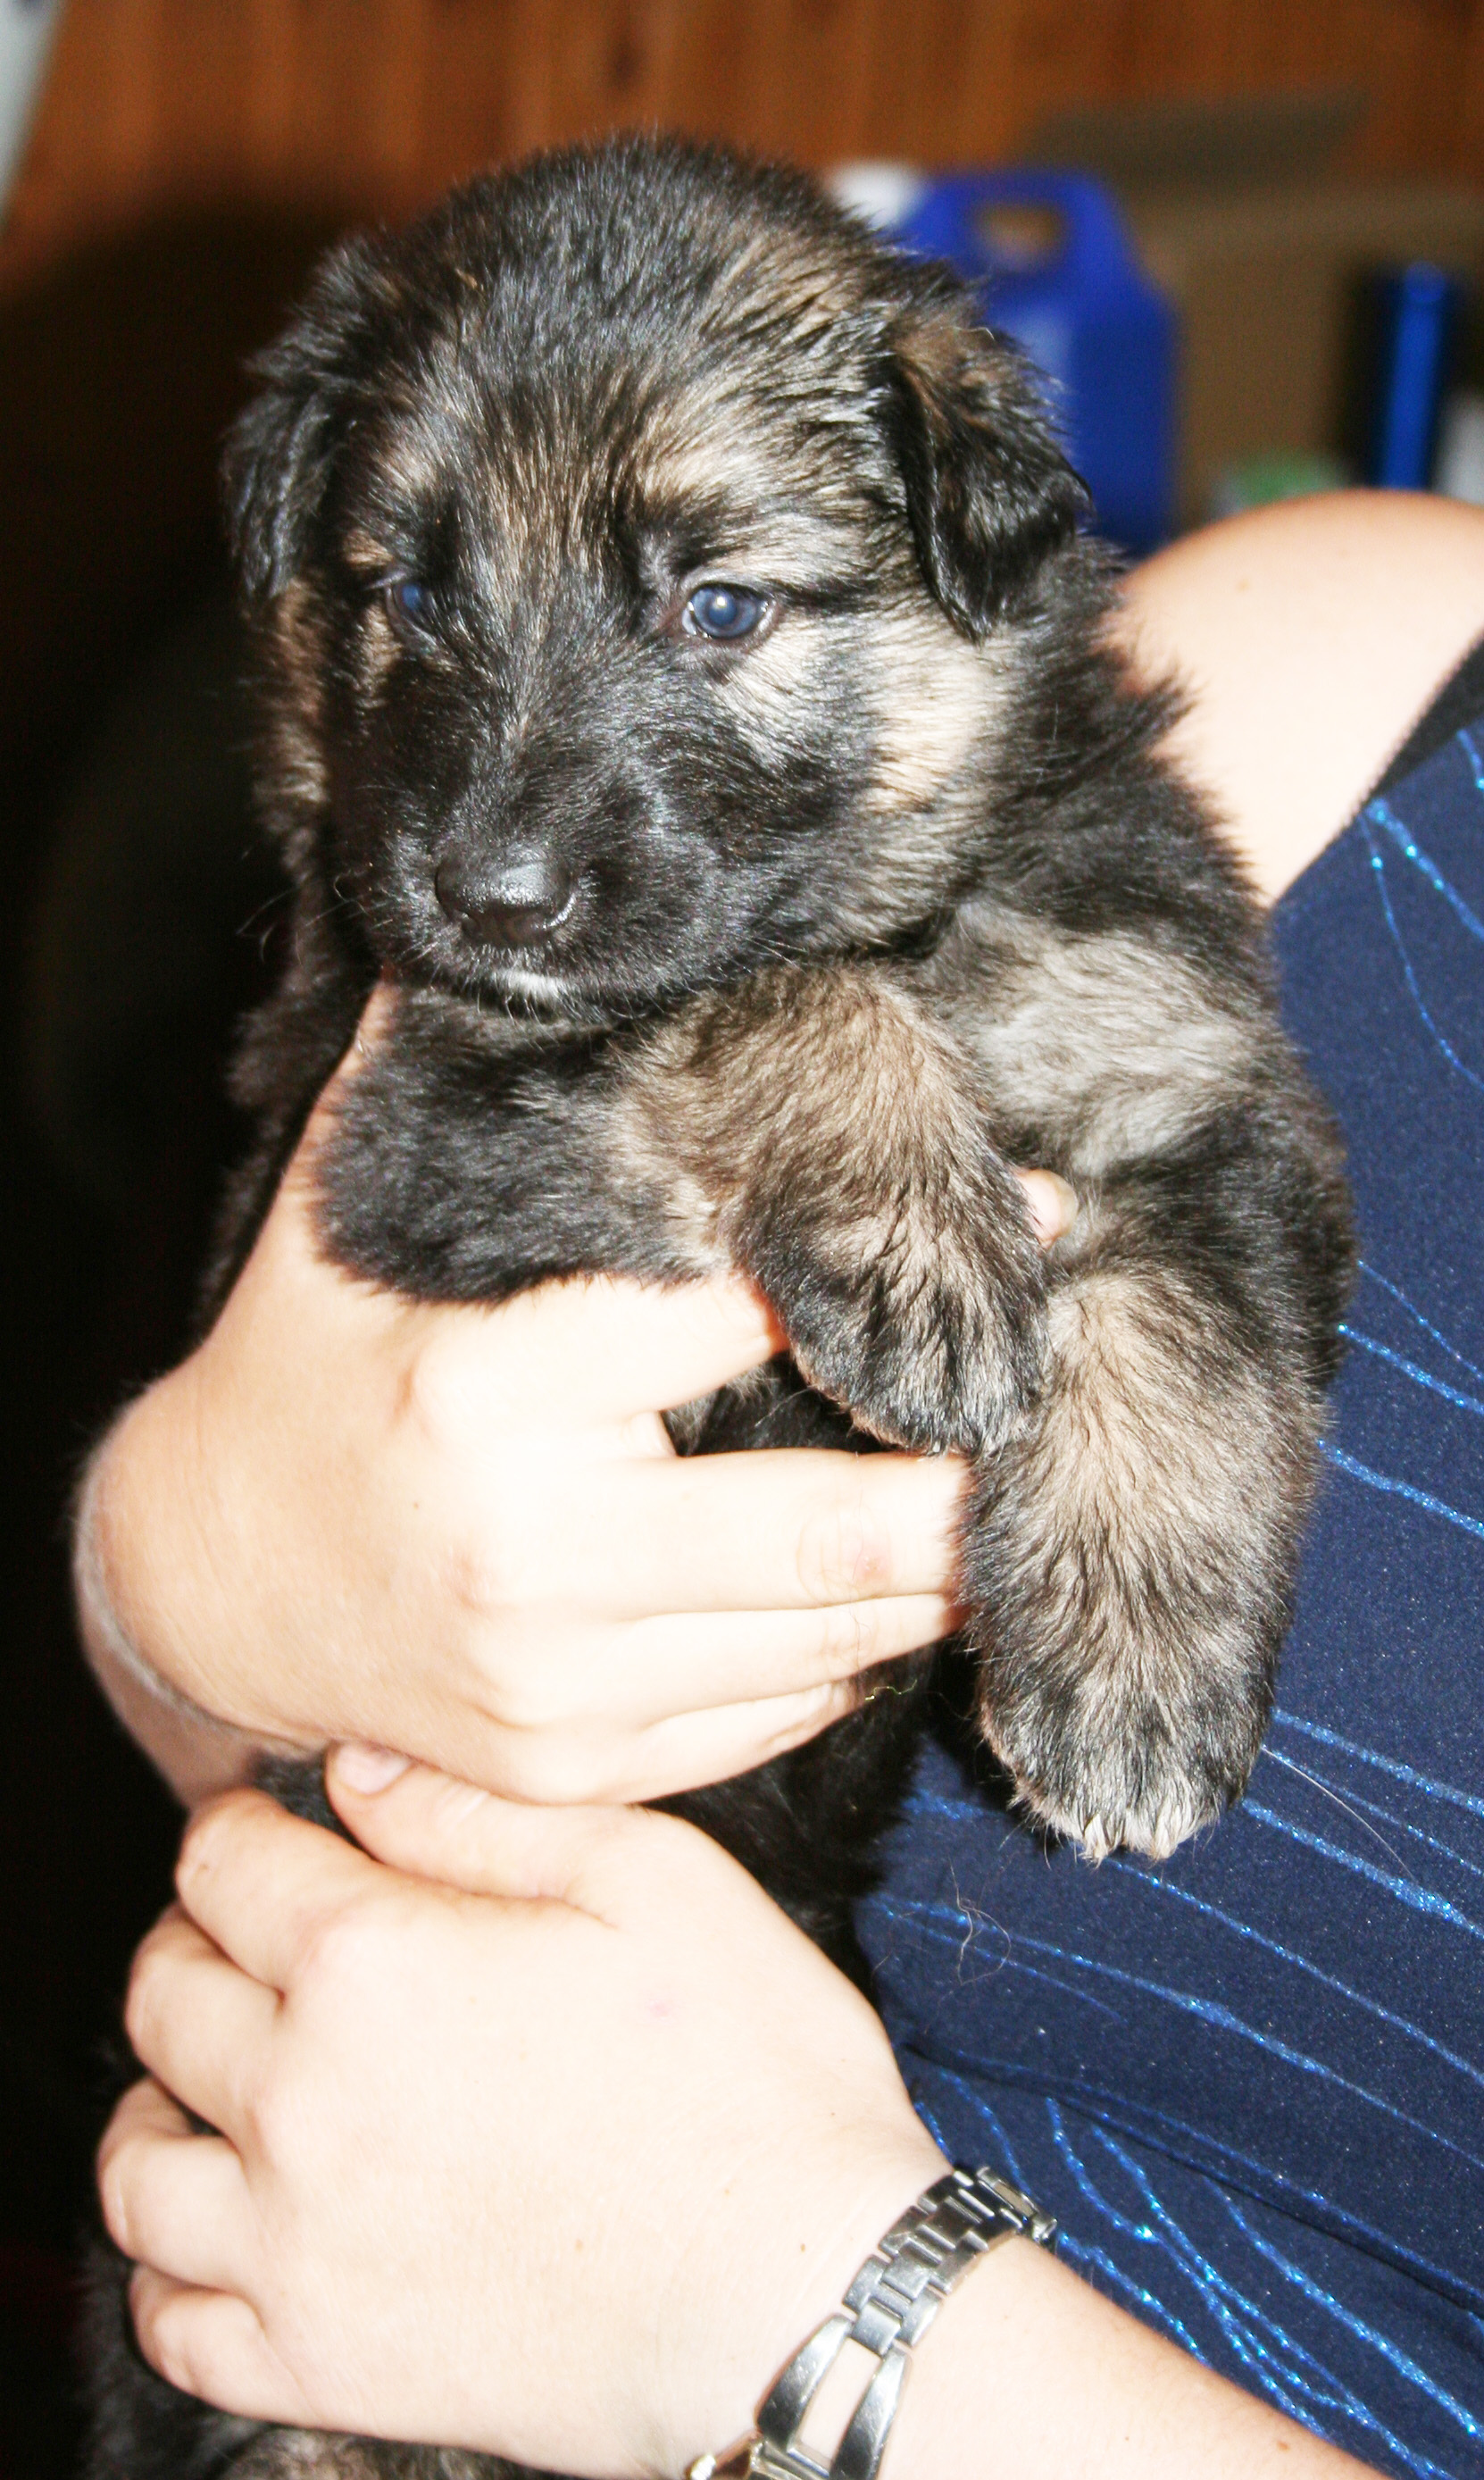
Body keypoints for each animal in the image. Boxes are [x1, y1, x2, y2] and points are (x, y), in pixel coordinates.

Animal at [84, 136, 1360, 2480]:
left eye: (721, 606)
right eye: (406, 588)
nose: (488, 893)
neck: (920, 904)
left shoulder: (1198, 1079)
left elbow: (1194, 1337)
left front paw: (1132, 1674)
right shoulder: (425, 1122)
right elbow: (756, 988)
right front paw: (915, 1225)